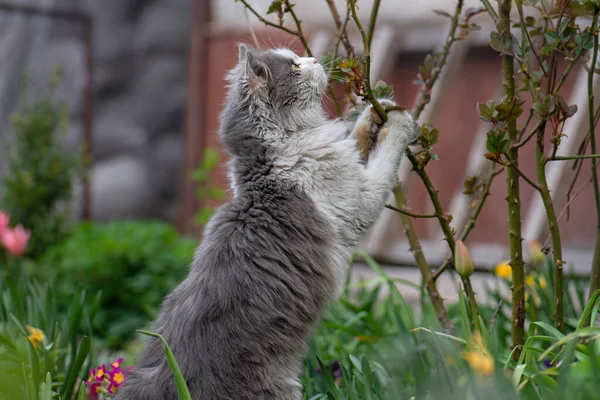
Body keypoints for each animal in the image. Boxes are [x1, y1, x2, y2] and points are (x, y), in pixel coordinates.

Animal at [116, 45, 418, 398]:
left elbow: (356, 137)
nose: (314, 59)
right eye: (294, 65)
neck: (273, 163)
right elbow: (386, 158)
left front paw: (375, 111)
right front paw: (399, 121)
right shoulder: (361, 200)